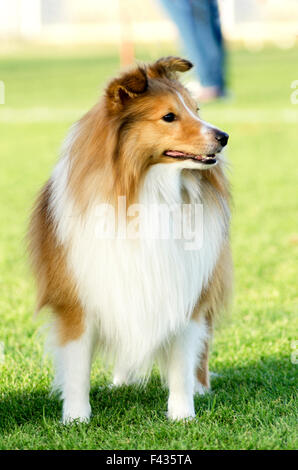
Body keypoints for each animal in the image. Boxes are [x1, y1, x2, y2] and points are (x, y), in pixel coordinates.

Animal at [28, 57, 233, 424]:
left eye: (196, 110)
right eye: (169, 117)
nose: (223, 137)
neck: (148, 188)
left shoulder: (185, 289)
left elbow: (182, 362)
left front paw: (183, 415)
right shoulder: (79, 297)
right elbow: (77, 367)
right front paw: (76, 419)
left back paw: (200, 387)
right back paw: (121, 382)